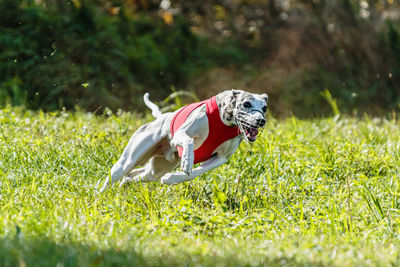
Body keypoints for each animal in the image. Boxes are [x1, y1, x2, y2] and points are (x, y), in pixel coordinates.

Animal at [99, 89, 268, 192]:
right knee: (116, 173)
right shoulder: (181, 133)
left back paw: (125, 183)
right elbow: (189, 141)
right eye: (246, 104)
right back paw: (99, 194)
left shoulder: (220, 158)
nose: (260, 120)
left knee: (137, 175)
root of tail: (161, 117)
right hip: (129, 159)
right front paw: (187, 161)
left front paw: (172, 178)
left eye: (265, 108)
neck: (224, 122)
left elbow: (195, 173)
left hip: (158, 168)